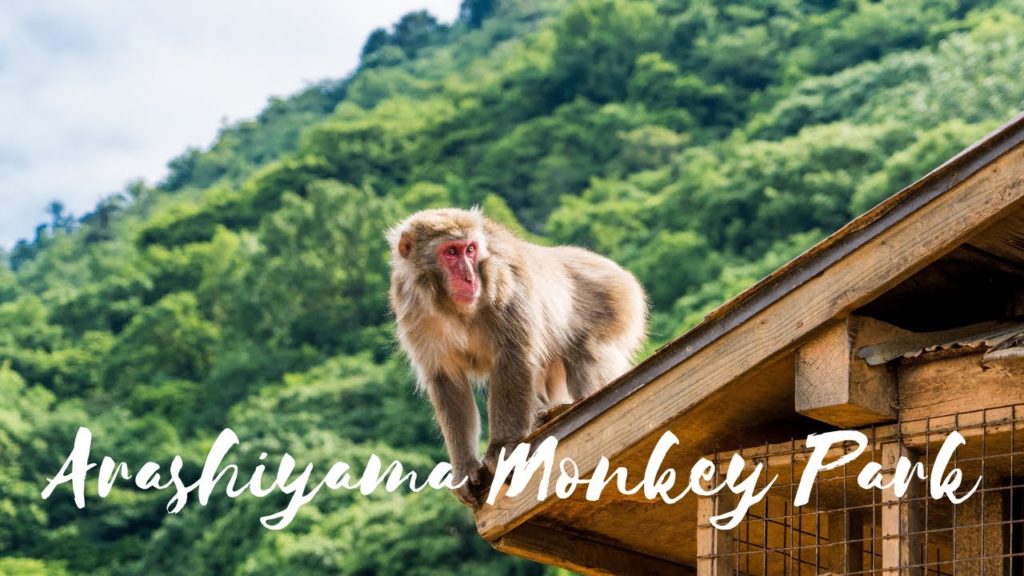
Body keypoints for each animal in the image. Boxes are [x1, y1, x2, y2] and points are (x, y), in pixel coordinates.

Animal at [387, 207, 647, 507]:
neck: (452, 307)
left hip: (617, 303)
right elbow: (447, 381)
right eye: (451, 252)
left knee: (587, 352)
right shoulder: (413, 310)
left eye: (470, 250)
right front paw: (464, 468)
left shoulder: (504, 285)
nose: (470, 277)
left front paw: (502, 448)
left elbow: (514, 358)